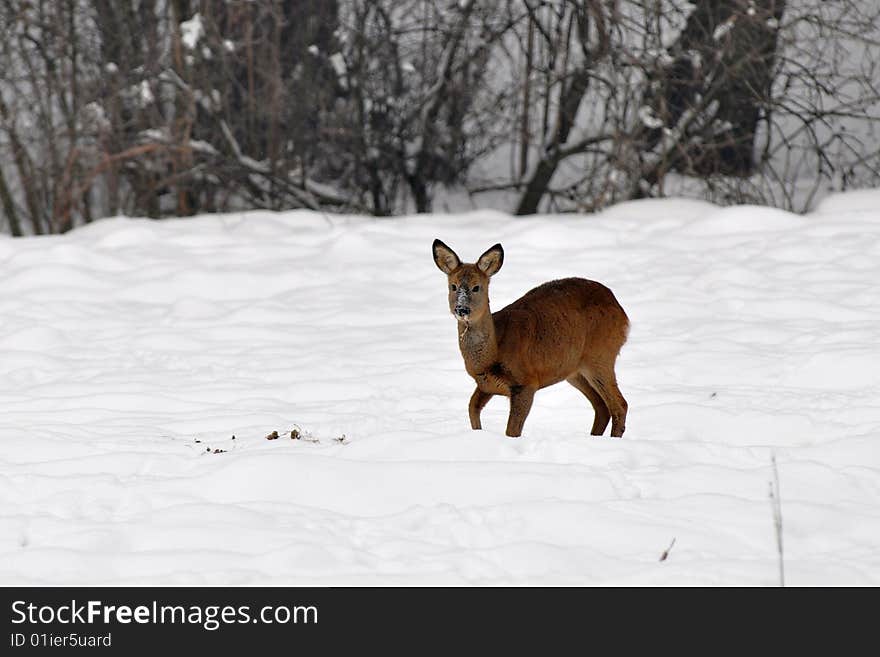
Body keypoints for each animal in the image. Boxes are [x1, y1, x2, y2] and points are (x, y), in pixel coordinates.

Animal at [432, 238, 624, 438]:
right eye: (453, 286)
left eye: (477, 287)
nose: (462, 309)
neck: (492, 356)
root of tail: (621, 312)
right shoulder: (485, 385)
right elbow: (472, 409)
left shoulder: (526, 382)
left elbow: (511, 430)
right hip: (573, 370)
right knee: (602, 406)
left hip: (600, 355)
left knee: (620, 405)